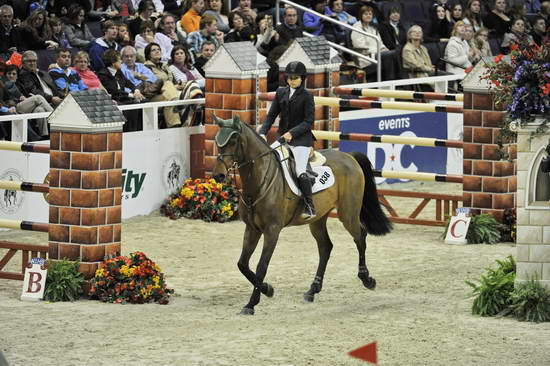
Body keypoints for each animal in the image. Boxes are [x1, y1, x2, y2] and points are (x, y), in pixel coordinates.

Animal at [211, 115, 392, 314]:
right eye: (217, 141)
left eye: (233, 141)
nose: (218, 176)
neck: (260, 181)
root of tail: (349, 156)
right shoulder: (252, 228)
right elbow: (242, 264)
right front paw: (268, 289)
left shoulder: (272, 230)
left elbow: (261, 266)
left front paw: (252, 303)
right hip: (318, 219)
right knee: (325, 247)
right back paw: (313, 290)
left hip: (348, 212)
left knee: (360, 237)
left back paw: (367, 279)